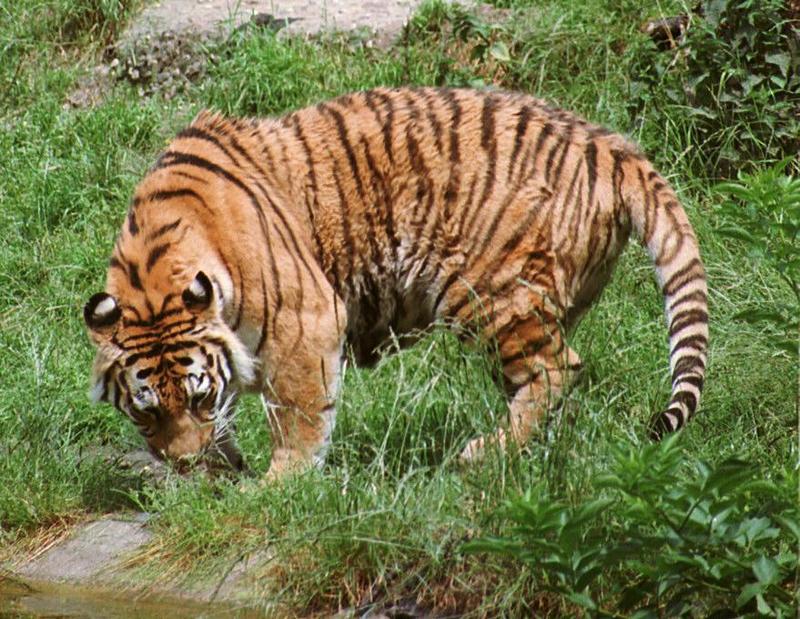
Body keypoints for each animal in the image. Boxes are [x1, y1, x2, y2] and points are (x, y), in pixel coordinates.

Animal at [84, 86, 708, 474]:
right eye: (146, 410)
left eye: (198, 395)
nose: (187, 465)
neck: (152, 268)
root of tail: (609, 144)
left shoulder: (306, 324)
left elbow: (298, 418)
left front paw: (277, 488)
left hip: (488, 290)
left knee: (560, 369)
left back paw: (483, 453)